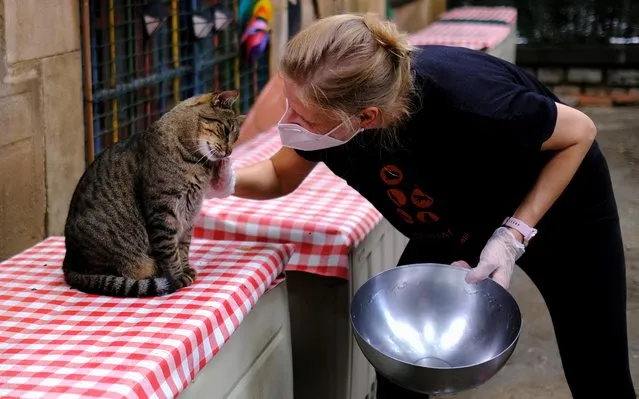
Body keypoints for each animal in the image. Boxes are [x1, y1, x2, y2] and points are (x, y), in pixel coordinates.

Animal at [62, 90, 246, 296]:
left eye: (236, 139)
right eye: (226, 130)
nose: (229, 152)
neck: (197, 164)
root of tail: (68, 265)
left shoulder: (189, 215)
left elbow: (183, 247)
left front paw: (186, 268)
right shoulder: (163, 212)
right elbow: (170, 252)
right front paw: (178, 276)